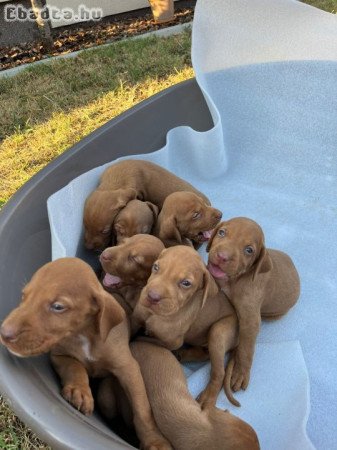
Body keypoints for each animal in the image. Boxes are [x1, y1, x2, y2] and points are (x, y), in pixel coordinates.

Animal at [0, 256, 172, 450]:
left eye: (58, 307)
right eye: (24, 295)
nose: (4, 333)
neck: (83, 335)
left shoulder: (129, 368)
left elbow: (142, 408)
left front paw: (154, 440)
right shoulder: (59, 355)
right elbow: (75, 367)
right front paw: (80, 392)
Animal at [131, 246, 239, 408]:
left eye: (186, 283)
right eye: (156, 267)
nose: (152, 297)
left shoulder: (172, 342)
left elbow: (142, 339)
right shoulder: (136, 318)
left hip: (219, 331)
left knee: (219, 372)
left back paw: (207, 399)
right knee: (205, 354)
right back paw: (183, 355)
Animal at [207, 219, 300, 394]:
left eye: (249, 250)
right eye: (222, 232)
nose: (222, 257)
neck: (234, 280)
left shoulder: (250, 320)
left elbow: (246, 347)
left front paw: (240, 373)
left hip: (275, 314)